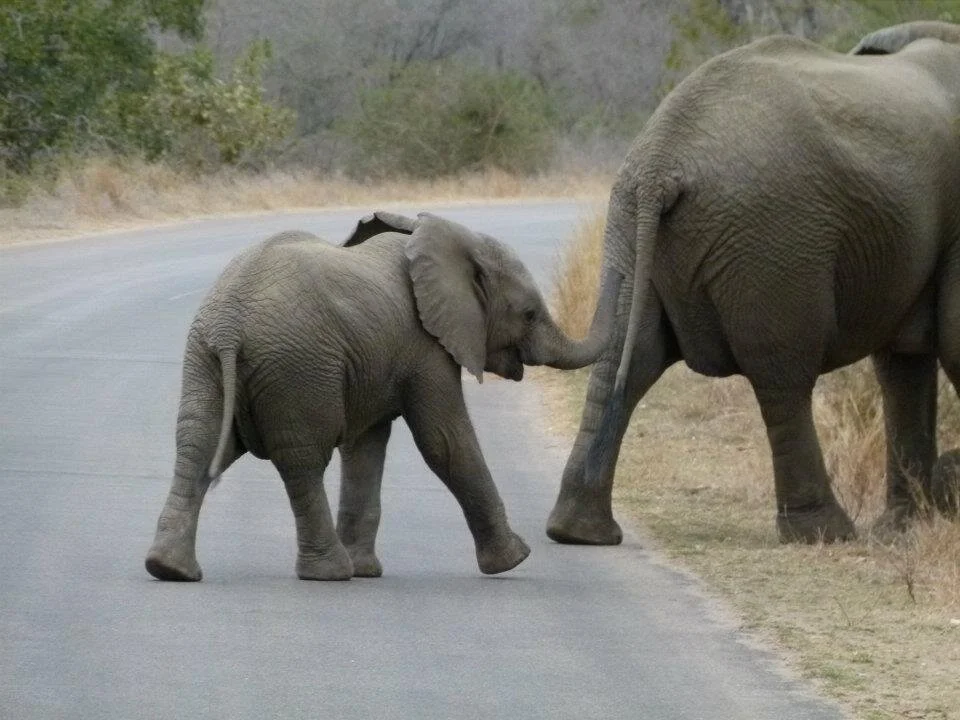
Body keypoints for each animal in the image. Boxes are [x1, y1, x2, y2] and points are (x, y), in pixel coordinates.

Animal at [145, 211, 620, 581]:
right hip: (297, 366)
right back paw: (330, 573)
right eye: (529, 314)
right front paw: (515, 560)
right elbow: (444, 442)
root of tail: (229, 324)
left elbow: (366, 446)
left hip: (206, 358)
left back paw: (170, 569)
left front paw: (367, 570)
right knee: (303, 460)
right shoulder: (425, 345)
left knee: (198, 447)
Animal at [545, 21, 960, 546]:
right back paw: (824, 533)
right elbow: (952, 344)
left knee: (625, 357)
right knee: (783, 375)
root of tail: (661, 160)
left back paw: (578, 533)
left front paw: (903, 528)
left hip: (632, 224)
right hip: (774, 236)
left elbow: (904, 364)